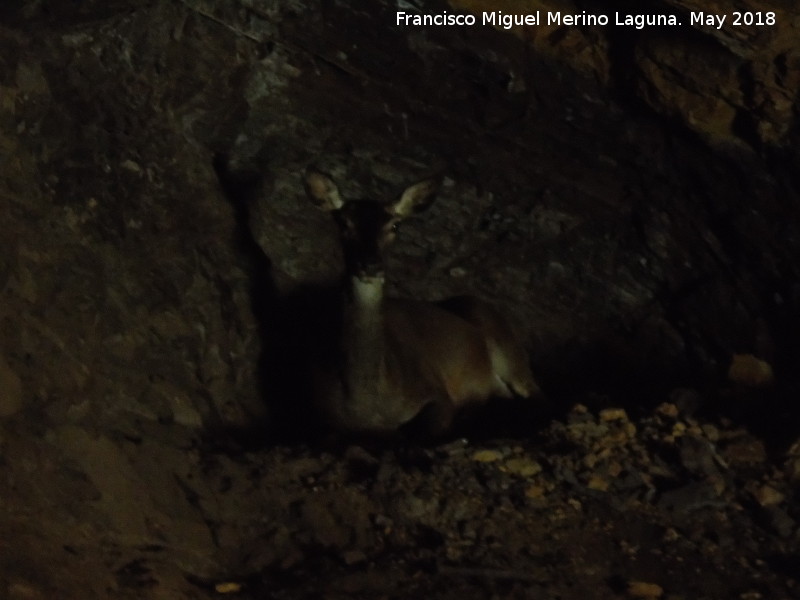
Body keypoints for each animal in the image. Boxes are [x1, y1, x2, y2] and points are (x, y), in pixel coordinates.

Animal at [304, 169, 540, 436]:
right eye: (344, 223)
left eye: (395, 225)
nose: (371, 265)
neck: (367, 400)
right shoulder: (321, 414)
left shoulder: (434, 390)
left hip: (507, 346)